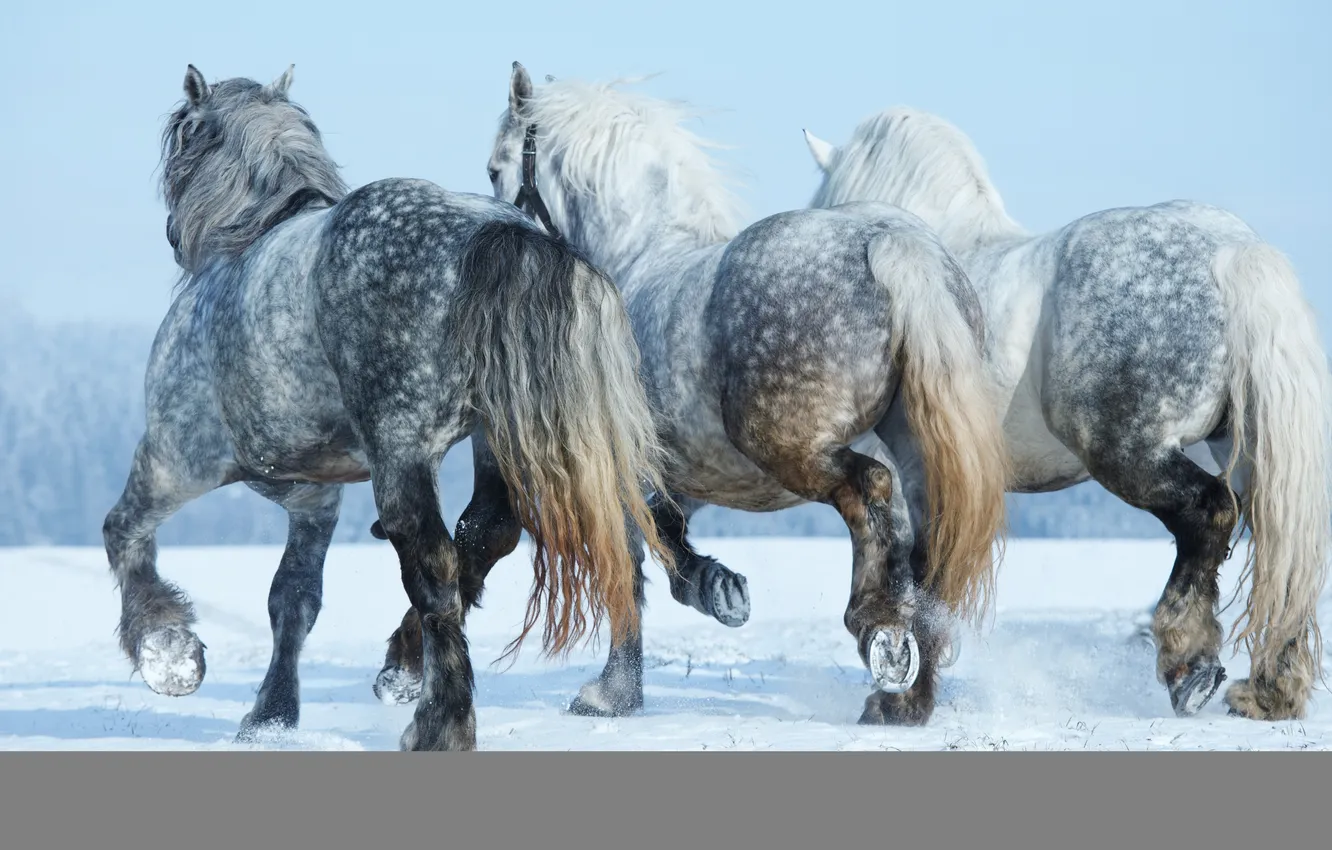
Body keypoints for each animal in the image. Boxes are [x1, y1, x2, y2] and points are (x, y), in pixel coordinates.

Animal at [101, 64, 672, 751]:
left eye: (182, 137)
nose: (171, 235)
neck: (252, 234)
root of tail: (498, 233)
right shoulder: (313, 498)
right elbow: (293, 599)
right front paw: (271, 715)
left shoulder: (176, 457)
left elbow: (124, 533)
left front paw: (169, 652)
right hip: (493, 439)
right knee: (484, 535)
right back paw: (405, 666)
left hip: (393, 452)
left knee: (432, 563)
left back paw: (439, 720)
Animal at [372, 63, 1012, 728]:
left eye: (496, 166)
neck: (636, 255)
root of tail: (891, 242)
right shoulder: (667, 476)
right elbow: (664, 554)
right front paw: (719, 593)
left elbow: (601, 567)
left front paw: (608, 693)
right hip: (918, 448)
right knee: (930, 547)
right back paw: (904, 694)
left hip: (788, 446)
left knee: (868, 491)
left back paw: (876, 627)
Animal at [796, 109, 1332, 720]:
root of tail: (1230, 250)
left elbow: (915, 576)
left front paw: (902, 701)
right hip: (1248, 455)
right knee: (1278, 552)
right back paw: (1267, 691)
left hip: (1129, 453)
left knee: (1210, 512)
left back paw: (1188, 662)